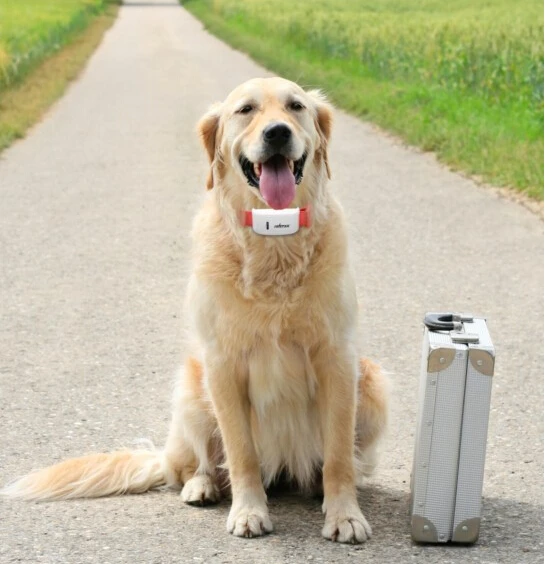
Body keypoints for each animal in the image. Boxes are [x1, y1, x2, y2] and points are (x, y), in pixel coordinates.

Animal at [2, 77, 388, 544]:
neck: (273, 244)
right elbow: (241, 454)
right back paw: (201, 486)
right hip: (190, 389)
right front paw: (248, 511)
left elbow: (339, 456)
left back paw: (311, 486)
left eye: (296, 106)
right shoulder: (222, 364)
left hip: (373, 386)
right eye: (245, 110)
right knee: (193, 466)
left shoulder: (338, 359)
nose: (277, 133)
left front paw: (345, 515)